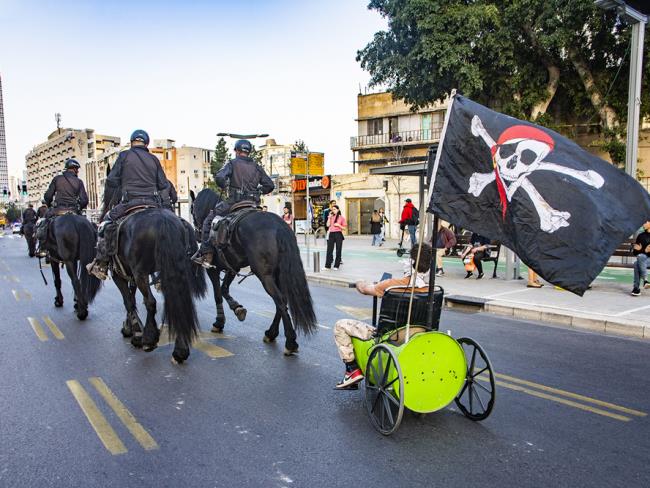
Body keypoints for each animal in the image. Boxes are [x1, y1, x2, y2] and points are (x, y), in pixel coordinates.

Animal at [101, 185, 205, 364]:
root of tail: (164, 220)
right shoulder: (131, 275)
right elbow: (131, 296)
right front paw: (130, 328)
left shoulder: (118, 274)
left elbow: (129, 301)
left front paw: (136, 333)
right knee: (177, 300)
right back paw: (180, 350)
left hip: (141, 273)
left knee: (150, 302)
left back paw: (149, 339)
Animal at [190, 188, 316, 354]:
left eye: (191, 210)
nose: (197, 234)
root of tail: (279, 225)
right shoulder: (232, 267)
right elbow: (224, 289)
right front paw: (237, 309)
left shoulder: (213, 269)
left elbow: (218, 294)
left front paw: (219, 322)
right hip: (278, 274)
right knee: (281, 300)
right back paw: (271, 333)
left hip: (265, 275)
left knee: (280, 300)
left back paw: (290, 342)